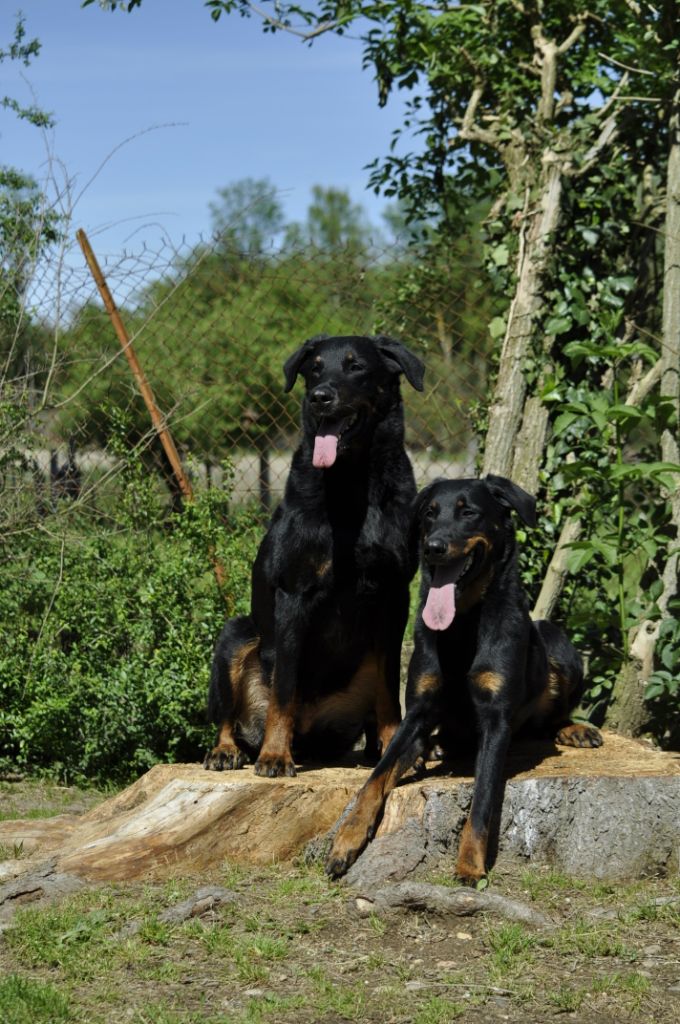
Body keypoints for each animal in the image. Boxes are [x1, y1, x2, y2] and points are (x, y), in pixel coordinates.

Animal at [202, 333, 426, 774]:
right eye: (315, 369)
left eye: (356, 366)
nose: (319, 398)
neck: (352, 484)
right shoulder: (295, 593)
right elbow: (284, 688)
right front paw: (274, 754)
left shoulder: (394, 596)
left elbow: (390, 689)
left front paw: (397, 751)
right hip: (236, 636)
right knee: (228, 713)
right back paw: (228, 750)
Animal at [327, 475, 602, 884]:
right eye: (429, 514)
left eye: (468, 512)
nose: (433, 548)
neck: (464, 622)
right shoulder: (418, 712)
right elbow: (374, 778)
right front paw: (346, 839)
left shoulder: (495, 721)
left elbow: (482, 802)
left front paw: (470, 864)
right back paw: (434, 748)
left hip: (557, 641)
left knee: (550, 716)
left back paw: (574, 729)